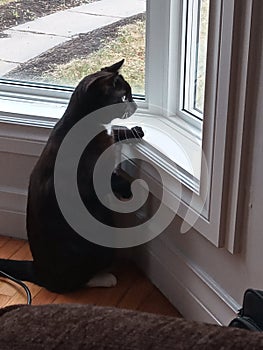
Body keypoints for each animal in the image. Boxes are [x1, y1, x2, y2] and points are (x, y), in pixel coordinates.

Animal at [0, 59, 144, 292]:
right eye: (124, 97)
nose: (136, 105)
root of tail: (38, 270)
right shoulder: (90, 175)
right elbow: (112, 178)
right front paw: (129, 189)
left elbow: (115, 132)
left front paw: (134, 131)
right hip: (100, 240)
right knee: (72, 283)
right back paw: (105, 279)